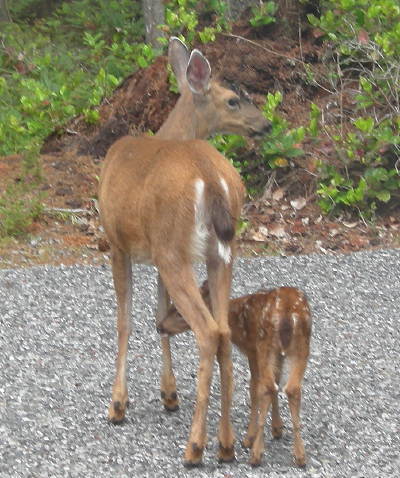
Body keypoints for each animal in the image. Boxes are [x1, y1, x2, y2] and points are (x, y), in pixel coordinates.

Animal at [98, 38, 270, 466]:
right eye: (233, 100)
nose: (266, 125)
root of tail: (209, 178)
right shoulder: (156, 251)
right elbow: (159, 318)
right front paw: (169, 394)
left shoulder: (118, 242)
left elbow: (125, 321)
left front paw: (118, 403)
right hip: (220, 252)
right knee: (223, 329)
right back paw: (225, 444)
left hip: (175, 251)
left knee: (208, 330)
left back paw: (195, 446)